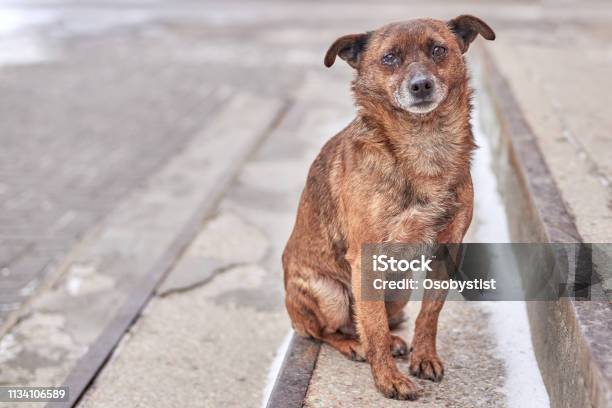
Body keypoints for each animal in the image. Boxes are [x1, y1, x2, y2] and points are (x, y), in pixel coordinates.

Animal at [282, 15, 492, 398]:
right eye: (389, 58)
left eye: (438, 50)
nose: (421, 85)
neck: (423, 144)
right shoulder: (366, 259)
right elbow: (374, 327)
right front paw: (388, 379)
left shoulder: (447, 250)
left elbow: (429, 314)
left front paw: (424, 357)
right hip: (332, 294)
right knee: (328, 330)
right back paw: (354, 345)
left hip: (399, 288)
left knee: (375, 319)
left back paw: (392, 341)